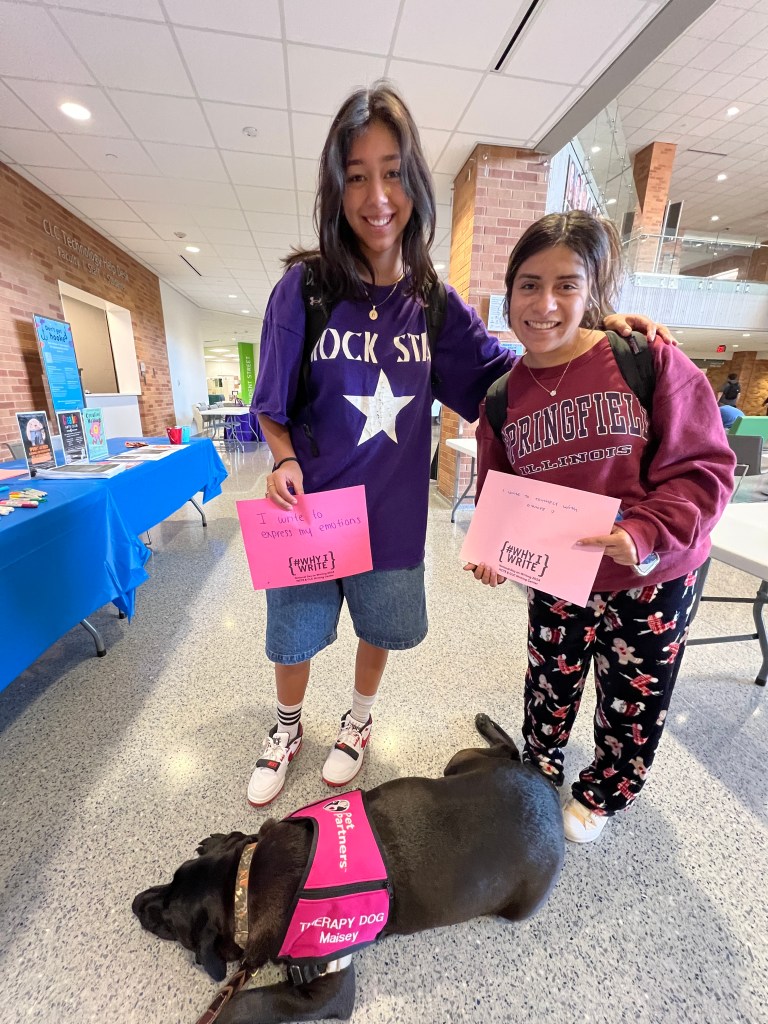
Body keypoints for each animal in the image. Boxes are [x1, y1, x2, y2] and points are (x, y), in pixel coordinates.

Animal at [133, 714, 564, 1023]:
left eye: (169, 923)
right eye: (174, 875)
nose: (136, 903)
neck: (244, 884)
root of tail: (550, 799)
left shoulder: (327, 988)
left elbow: (244, 1004)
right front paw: (221, 838)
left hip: (518, 906)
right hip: (459, 765)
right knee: (510, 752)